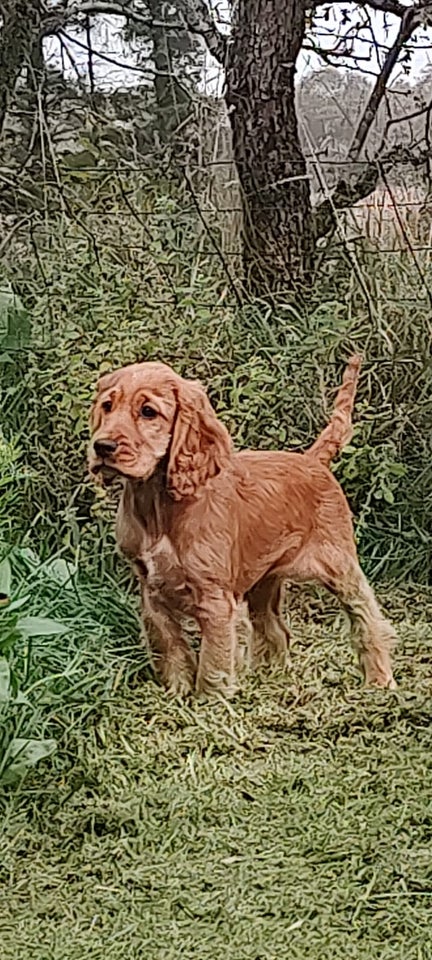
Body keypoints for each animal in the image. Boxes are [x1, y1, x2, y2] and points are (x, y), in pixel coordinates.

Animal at [89, 356, 396, 692]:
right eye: (107, 406)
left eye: (148, 412)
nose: (102, 446)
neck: (157, 505)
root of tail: (313, 460)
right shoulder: (151, 592)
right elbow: (171, 650)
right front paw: (177, 693)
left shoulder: (215, 599)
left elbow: (213, 663)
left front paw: (210, 700)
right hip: (264, 580)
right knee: (275, 629)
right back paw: (270, 678)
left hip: (339, 563)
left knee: (367, 617)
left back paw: (379, 679)